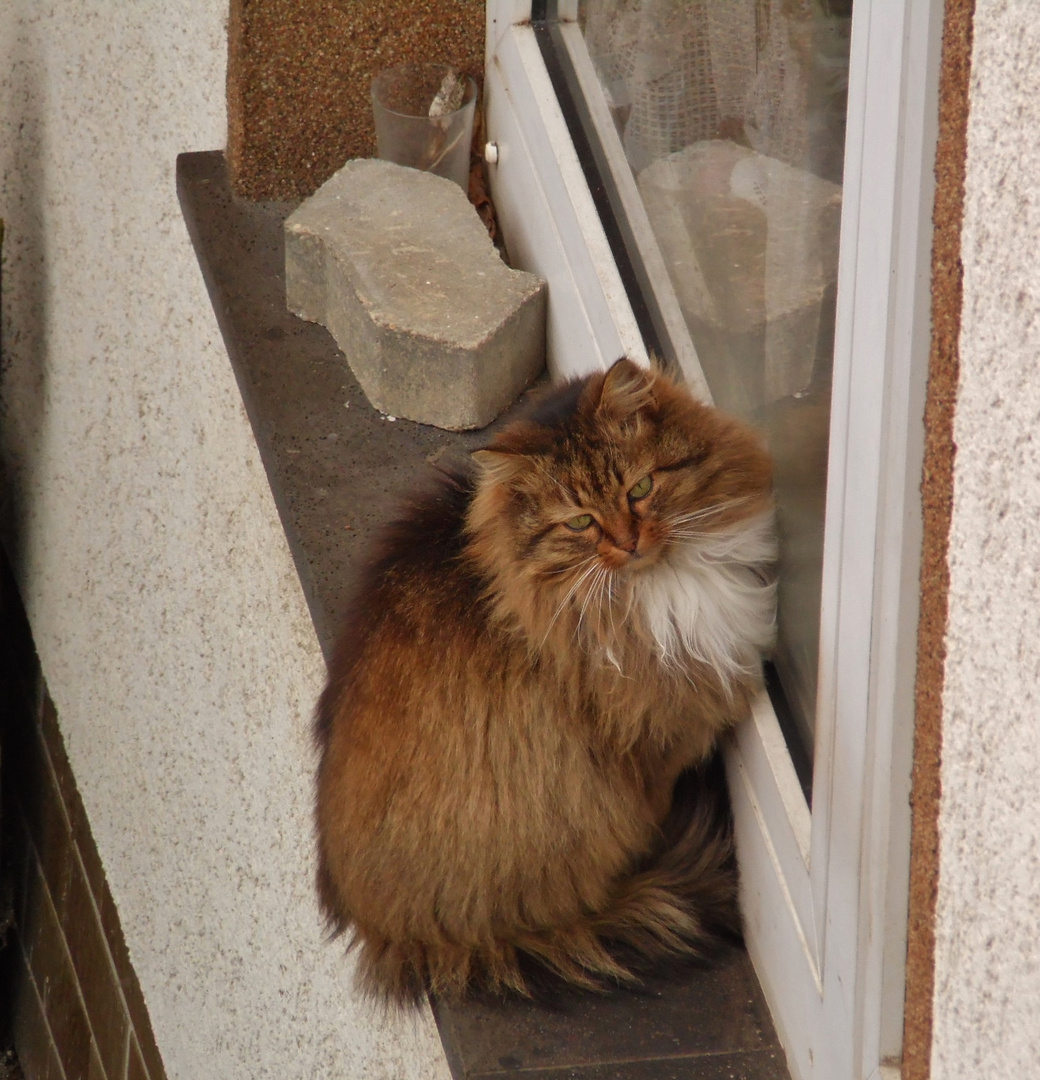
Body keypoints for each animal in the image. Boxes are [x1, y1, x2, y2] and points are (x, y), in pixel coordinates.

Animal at [313, 358, 777, 1006]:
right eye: (580, 522)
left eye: (640, 489)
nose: (628, 542)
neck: (652, 590)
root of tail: (382, 925)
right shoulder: (654, 745)